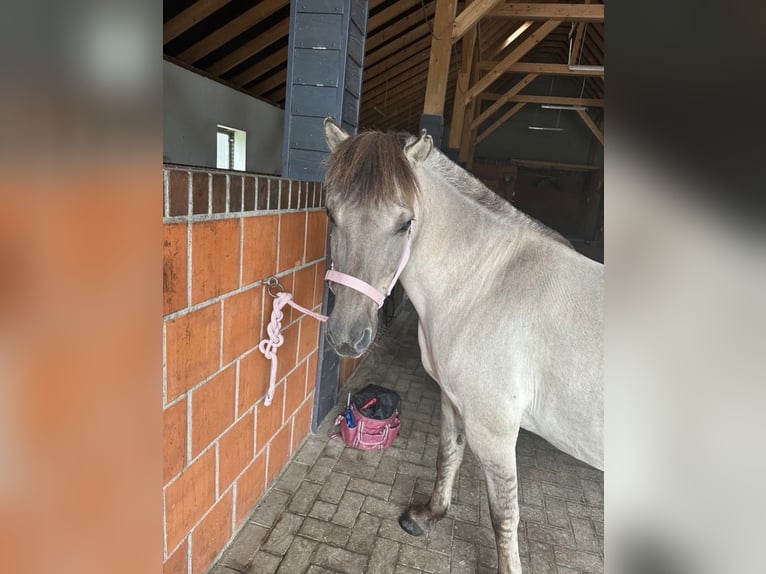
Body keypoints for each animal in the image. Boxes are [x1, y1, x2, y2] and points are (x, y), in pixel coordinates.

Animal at [321, 117, 603, 574]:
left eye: (406, 223)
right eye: (331, 213)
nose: (347, 336)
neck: (486, 284)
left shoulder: (494, 430)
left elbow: (503, 513)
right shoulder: (452, 399)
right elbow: (447, 454)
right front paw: (427, 516)